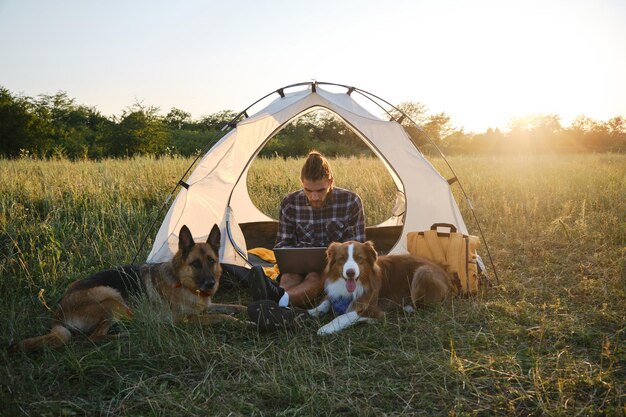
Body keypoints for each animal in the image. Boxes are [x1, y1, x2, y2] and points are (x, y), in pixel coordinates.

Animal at [10, 224, 244, 352]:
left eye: (211, 261)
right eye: (195, 264)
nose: (210, 284)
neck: (183, 282)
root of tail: (58, 313)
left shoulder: (208, 306)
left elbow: (234, 307)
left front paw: (245, 312)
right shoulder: (186, 320)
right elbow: (224, 317)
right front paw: (241, 323)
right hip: (112, 300)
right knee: (94, 338)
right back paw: (126, 335)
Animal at [308, 239, 450, 334]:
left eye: (359, 258)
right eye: (341, 259)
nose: (350, 273)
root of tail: (446, 274)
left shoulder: (372, 307)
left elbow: (344, 316)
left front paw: (327, 327)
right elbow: (326, 301)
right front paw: (314, 310)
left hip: (423, 272)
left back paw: (408, 307)